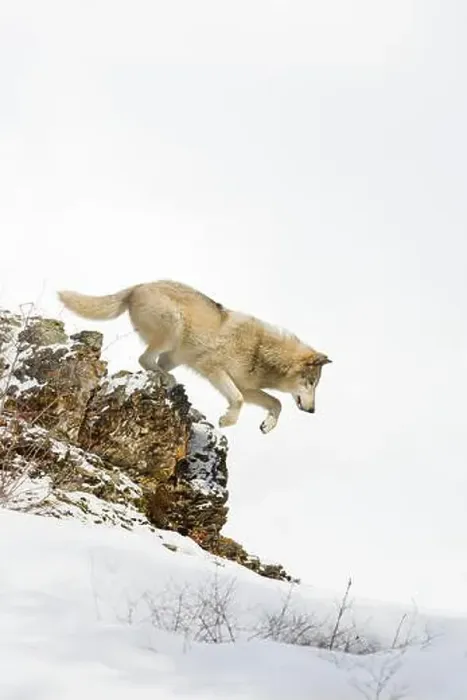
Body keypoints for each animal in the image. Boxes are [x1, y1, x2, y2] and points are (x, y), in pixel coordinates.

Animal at [58, 280, 331, 433]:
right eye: (310, 383)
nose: (313, 411)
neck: (261, 353)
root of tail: (138, 286)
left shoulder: (246, 386)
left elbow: (276, 403)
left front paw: (267, 426)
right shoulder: (214, 370)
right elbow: (239, 400)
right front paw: (226, 420)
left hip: (176, 354)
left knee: (153, 362)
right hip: (174, 330)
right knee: (145, 360)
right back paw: (169, 381)